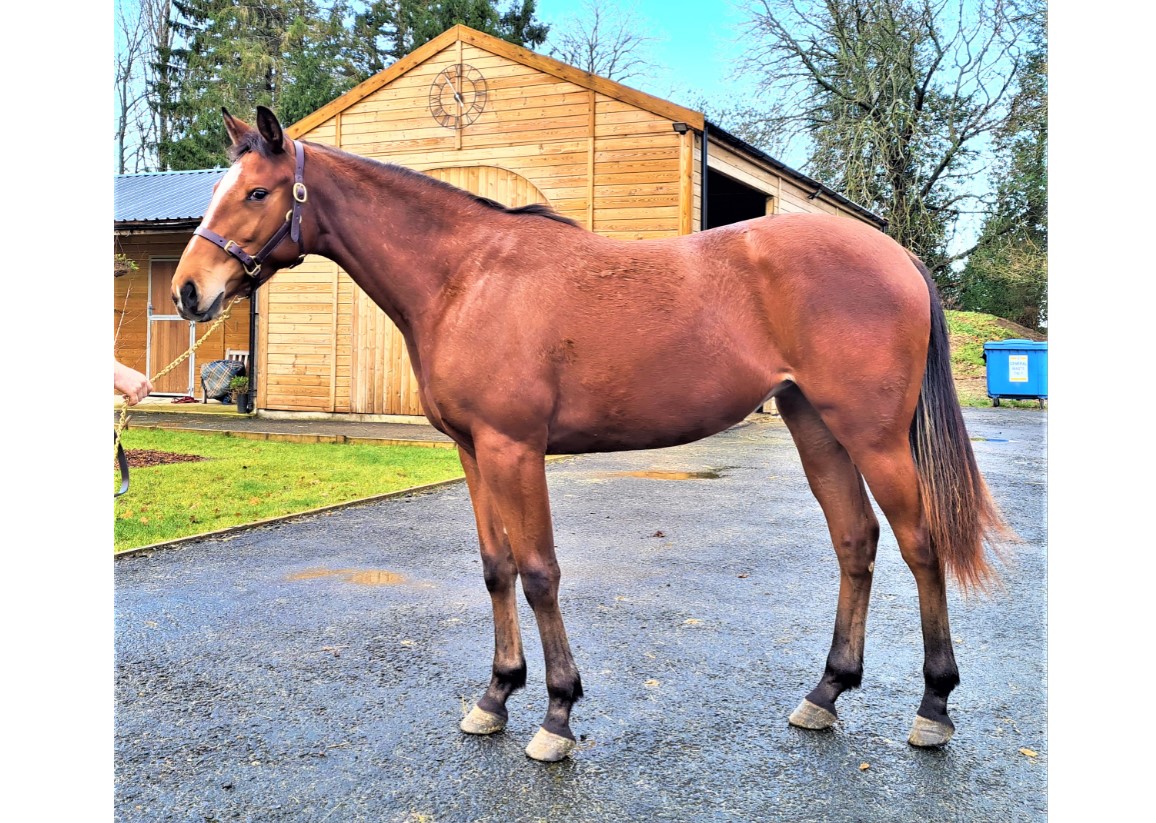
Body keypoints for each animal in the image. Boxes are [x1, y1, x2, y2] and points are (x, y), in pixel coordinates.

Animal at [171, 106, 1009, 762]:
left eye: (256, 192)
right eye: (216, 190)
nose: (188, 291)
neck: (468, 277)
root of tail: (898, 255)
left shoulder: (513, 449)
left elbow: (540, 571)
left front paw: (556, 713)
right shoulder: (474, 453)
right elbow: (497, 568)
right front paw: (495, 696)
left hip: (874, 437)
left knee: (921, 544)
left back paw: (933, 708)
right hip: (817, 427)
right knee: (855, 541)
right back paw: (826, 692)